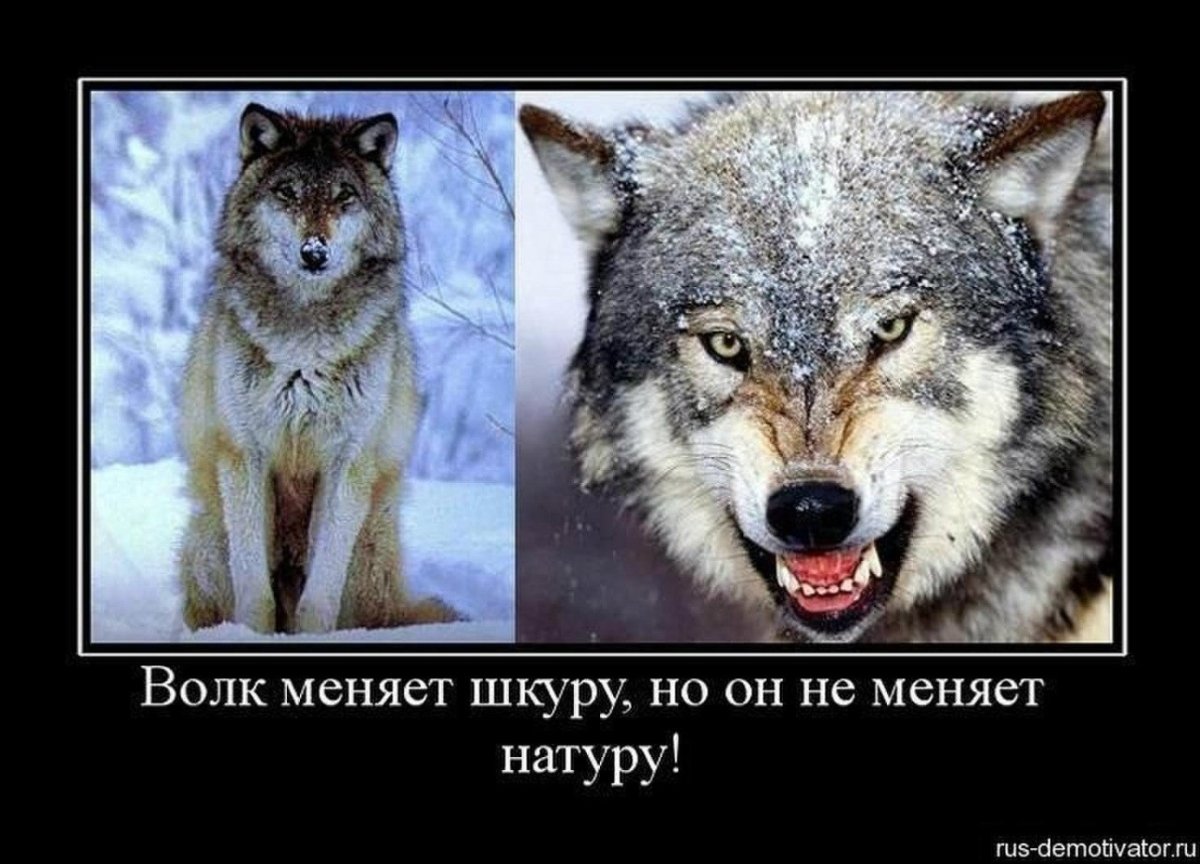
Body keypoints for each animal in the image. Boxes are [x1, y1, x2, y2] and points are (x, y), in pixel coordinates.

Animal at [178, 103, 454, 634]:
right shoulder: (244, 454)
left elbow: (320, 596)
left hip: (368, 547)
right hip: (210, 538)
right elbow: (254, 593)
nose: (314, 252)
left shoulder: (348, 461)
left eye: (343, 196)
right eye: (288, 193)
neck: (303, 345)